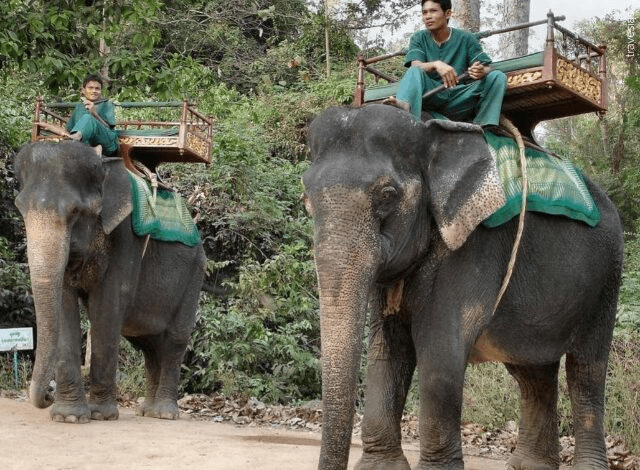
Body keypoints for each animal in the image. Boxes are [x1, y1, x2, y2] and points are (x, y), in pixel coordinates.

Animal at [14, 141, 206, 423]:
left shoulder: (125, 239)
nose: (47, 395)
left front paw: (100, 415)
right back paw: (146, 411)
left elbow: (107, 307)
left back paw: (164, 413)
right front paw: (69, 417)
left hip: (194, 273)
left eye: (76, 212)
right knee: (149, 345)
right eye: (21, 210)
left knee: (175, 340)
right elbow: (65, 306)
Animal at [302, 104, 624, 470]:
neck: (428, 130)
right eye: (306, 199)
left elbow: (440, 349)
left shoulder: (474, 248)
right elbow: (387, 348)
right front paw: (379, 467)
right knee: (533, 373)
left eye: (387, 195)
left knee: (586, 370)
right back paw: (531, 465)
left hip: (606, 278)